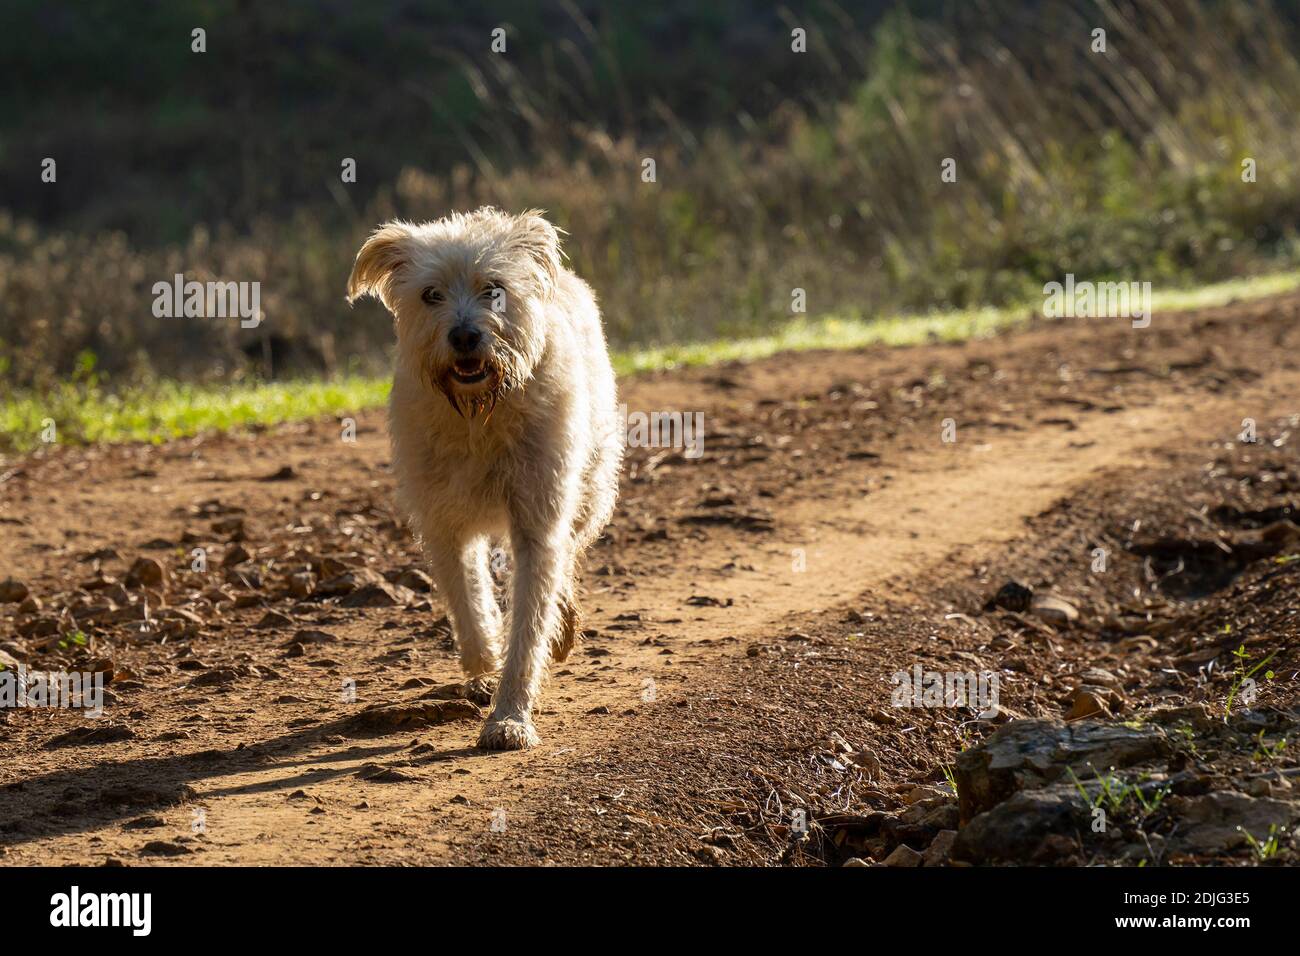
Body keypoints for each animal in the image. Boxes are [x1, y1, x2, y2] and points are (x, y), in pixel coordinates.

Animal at [348, 208, 621, 749]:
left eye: (493, 289)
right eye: (431, 294)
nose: (464, 337)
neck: (479, 414)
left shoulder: (538, 516)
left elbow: (530, 621)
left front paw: (510, 716)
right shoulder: (441, 522)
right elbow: (468, 599)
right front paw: (483, 667)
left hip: (590, 487)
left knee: (568, 554)